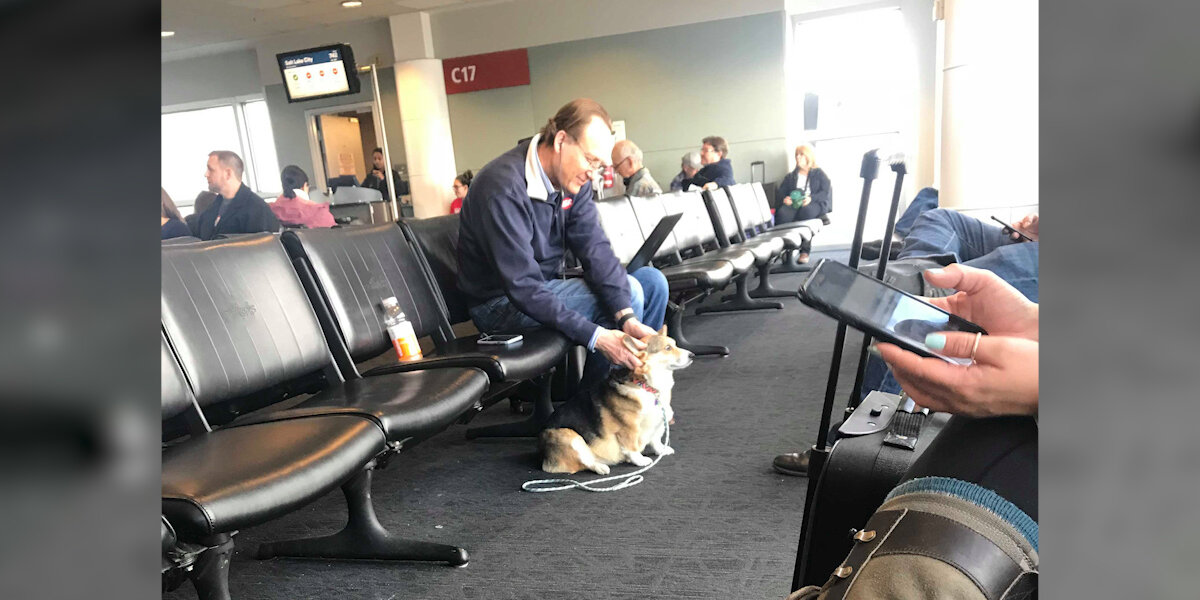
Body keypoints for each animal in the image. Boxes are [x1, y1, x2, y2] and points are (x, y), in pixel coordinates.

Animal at [542, 326, 696, 475]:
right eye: (668, 348)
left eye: (675, 344)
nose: (692, 355)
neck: (646, 386)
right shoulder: (629, 429)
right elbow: (632, 448)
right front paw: (640, 460)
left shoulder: (658, 423)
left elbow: (656, 440)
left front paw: (662, 450)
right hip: (570, 437)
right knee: (584, 462)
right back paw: (601, 467)